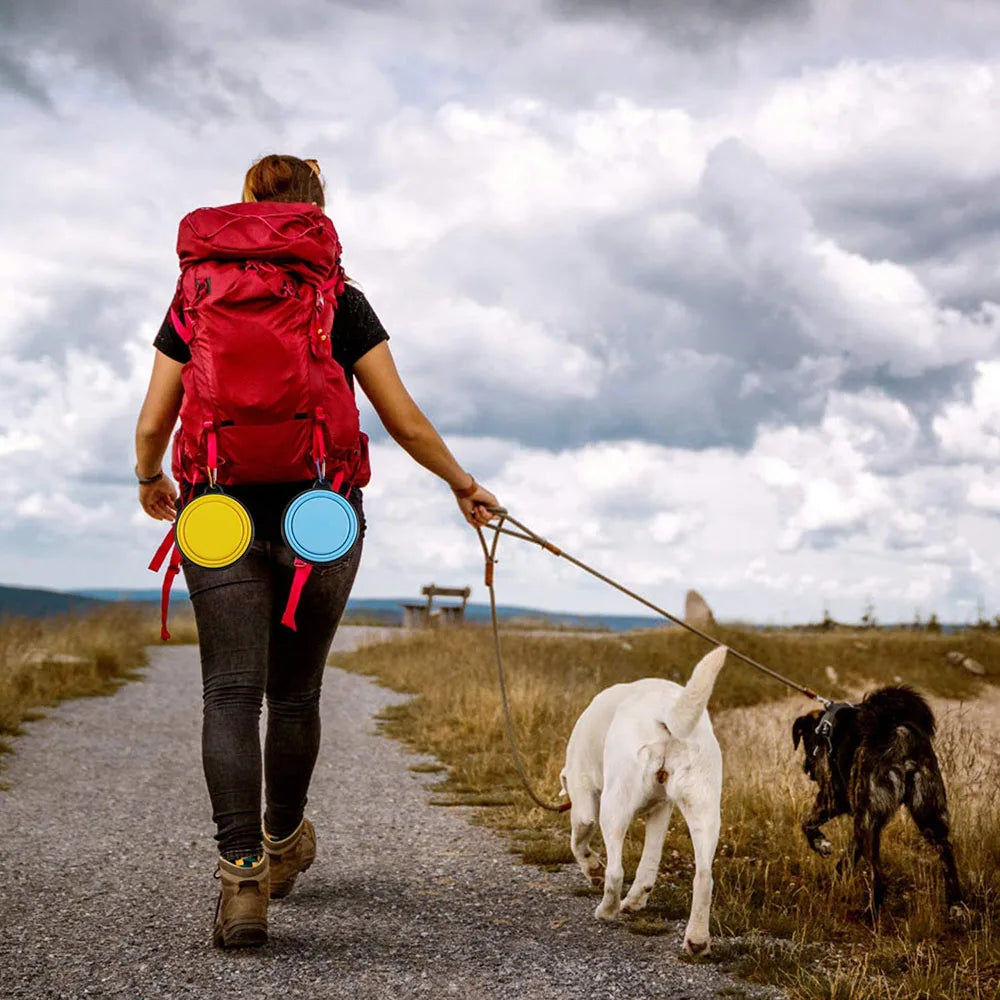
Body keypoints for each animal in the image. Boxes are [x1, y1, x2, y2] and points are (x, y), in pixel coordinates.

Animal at [556, 648, 728, 952]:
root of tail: (665, 713)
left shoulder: (583, 799)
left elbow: (578, 842)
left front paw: (592, 868)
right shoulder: (661, 809)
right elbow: (649, 863)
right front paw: (637, 899)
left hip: (614, 806)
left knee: (615, 872)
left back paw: (606, 910)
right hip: (704, 810)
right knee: (704, 877)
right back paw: (696, 939)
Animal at [792, 688, 964, 916]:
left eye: (807, 743)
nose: (806, 769)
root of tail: (900, 737)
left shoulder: (832, 797)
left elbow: (806, 823)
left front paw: (821, 844)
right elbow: (849, 856)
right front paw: (838, 877)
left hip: (868, 819)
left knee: (878, 874)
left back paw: (870, 913)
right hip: (928, 813)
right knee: (947, 851)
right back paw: (956, 904)